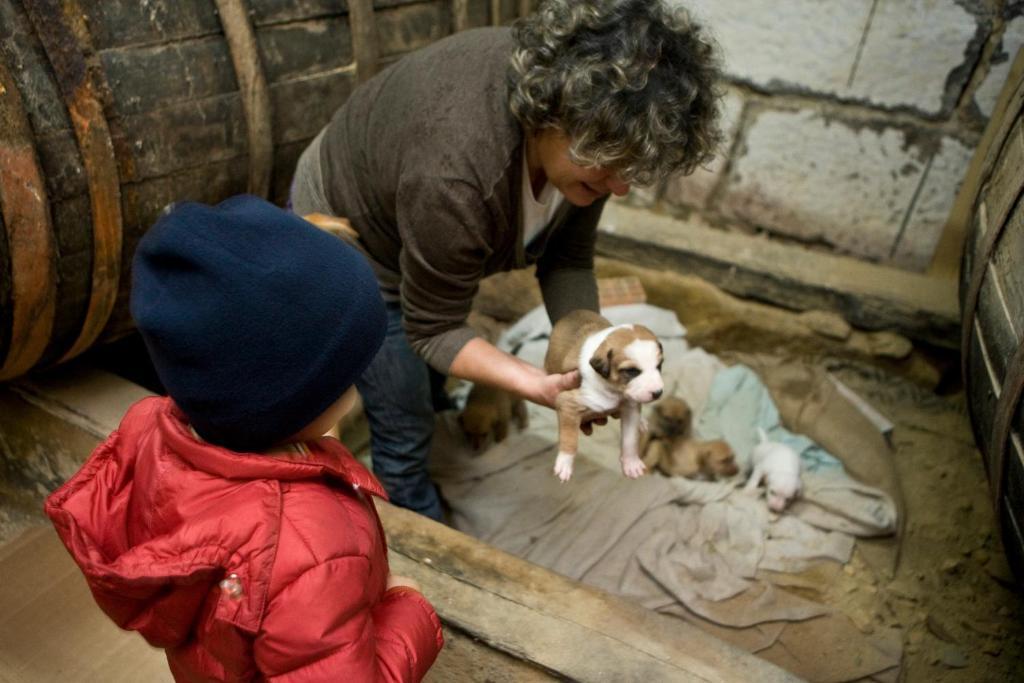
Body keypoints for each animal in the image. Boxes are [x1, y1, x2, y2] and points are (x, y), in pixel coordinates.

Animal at [544, 309, 663, 481]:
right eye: (632, 371)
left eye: (659, 366)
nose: (658, 393)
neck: (613, 389)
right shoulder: (567, 402)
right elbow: (569, 438)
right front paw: (564, 463)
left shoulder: (630, 407)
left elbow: (630, 439)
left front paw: (631, 463)